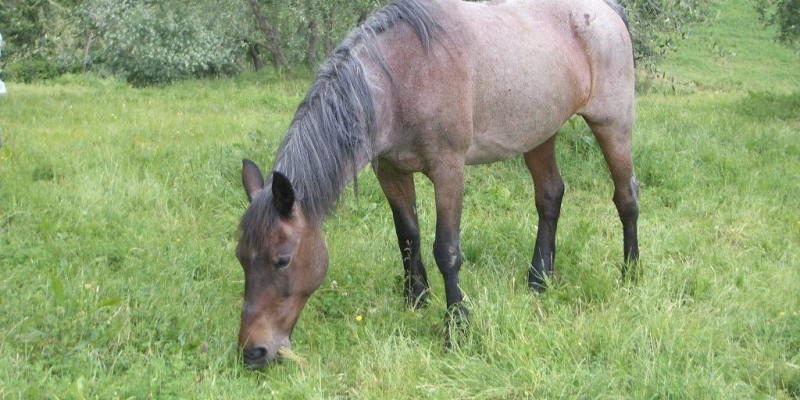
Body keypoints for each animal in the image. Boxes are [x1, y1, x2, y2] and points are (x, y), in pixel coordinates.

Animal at [234, 0, 640, 368]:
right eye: (240, 257)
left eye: (282, 259)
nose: (253, 352)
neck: (402, 76)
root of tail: (608, 10)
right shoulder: (391, 171)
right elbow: (408, 236)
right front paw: (416, 299)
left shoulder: (448, 170)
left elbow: (446, 250)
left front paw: (456, 328)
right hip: (540, 134)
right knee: (550, 197)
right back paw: (540, 279)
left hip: (612, 126)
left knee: (626, 197)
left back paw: (631, 273)